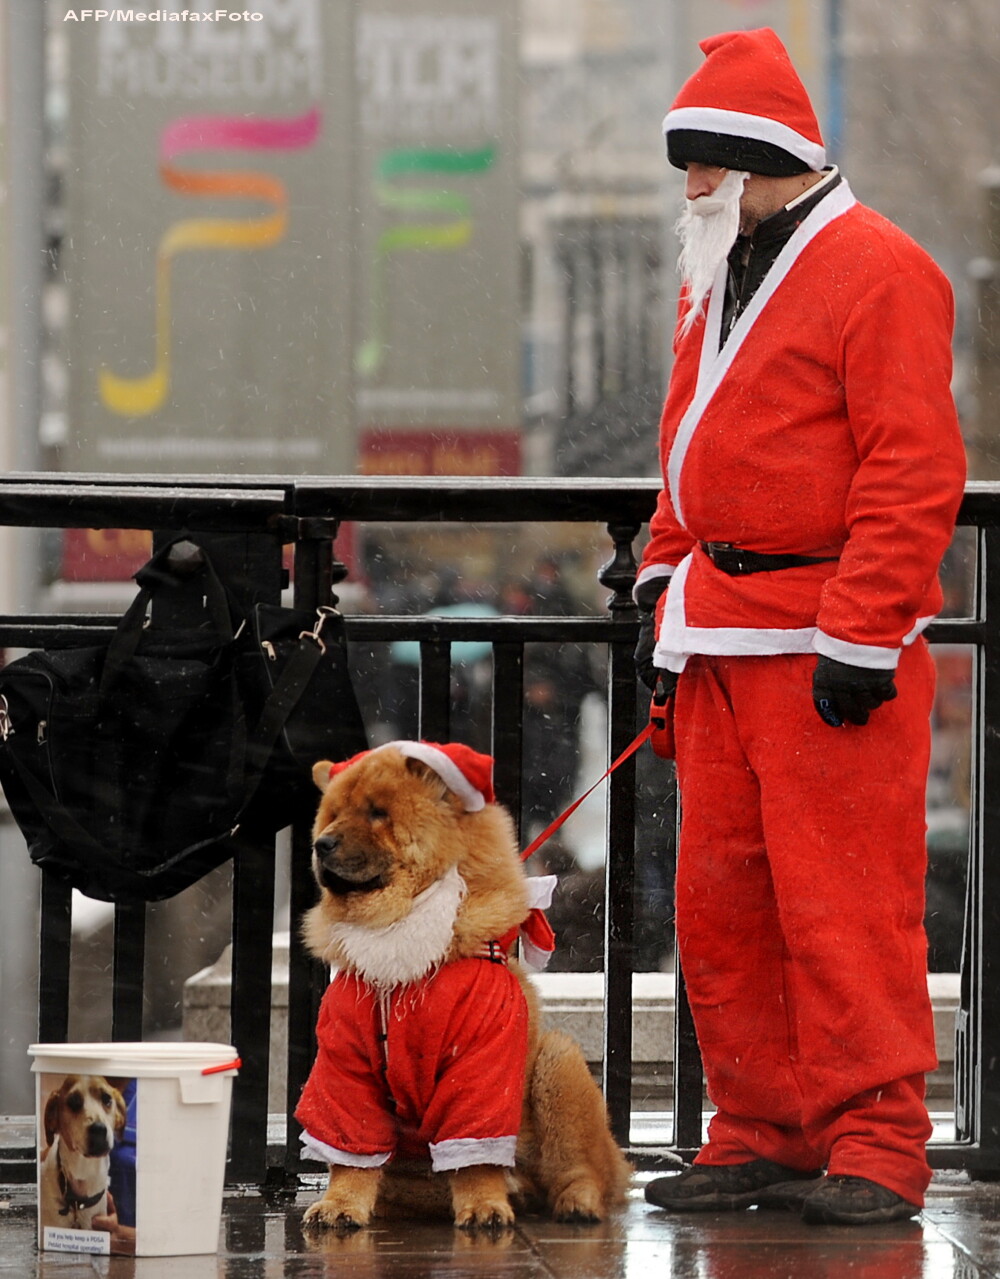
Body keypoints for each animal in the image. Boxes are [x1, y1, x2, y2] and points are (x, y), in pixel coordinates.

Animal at [294, 746, 634, 1232]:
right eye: (333, 816)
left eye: (378, 813)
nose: (321, 844)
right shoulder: (345, 1058)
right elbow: (350, 1152)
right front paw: (340, 1205)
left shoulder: (482, 1054)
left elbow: (476, 1153)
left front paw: (483, 1206)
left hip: (558, 1067)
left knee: (581, 1169)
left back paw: (575, 1205)